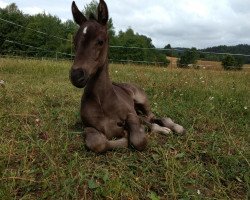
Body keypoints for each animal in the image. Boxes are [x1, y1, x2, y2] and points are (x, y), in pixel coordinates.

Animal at [69, 0, 185, 153]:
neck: (103, 101)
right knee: (150, 120)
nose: (76, 76)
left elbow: (138, 139)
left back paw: (175, 127)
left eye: (100, 41)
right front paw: (123, 137)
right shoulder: (88, 126)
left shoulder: (131, 114)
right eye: (74, 42)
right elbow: (97, 143)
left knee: (153, 117)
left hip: (142, 100)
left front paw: (127, 134)